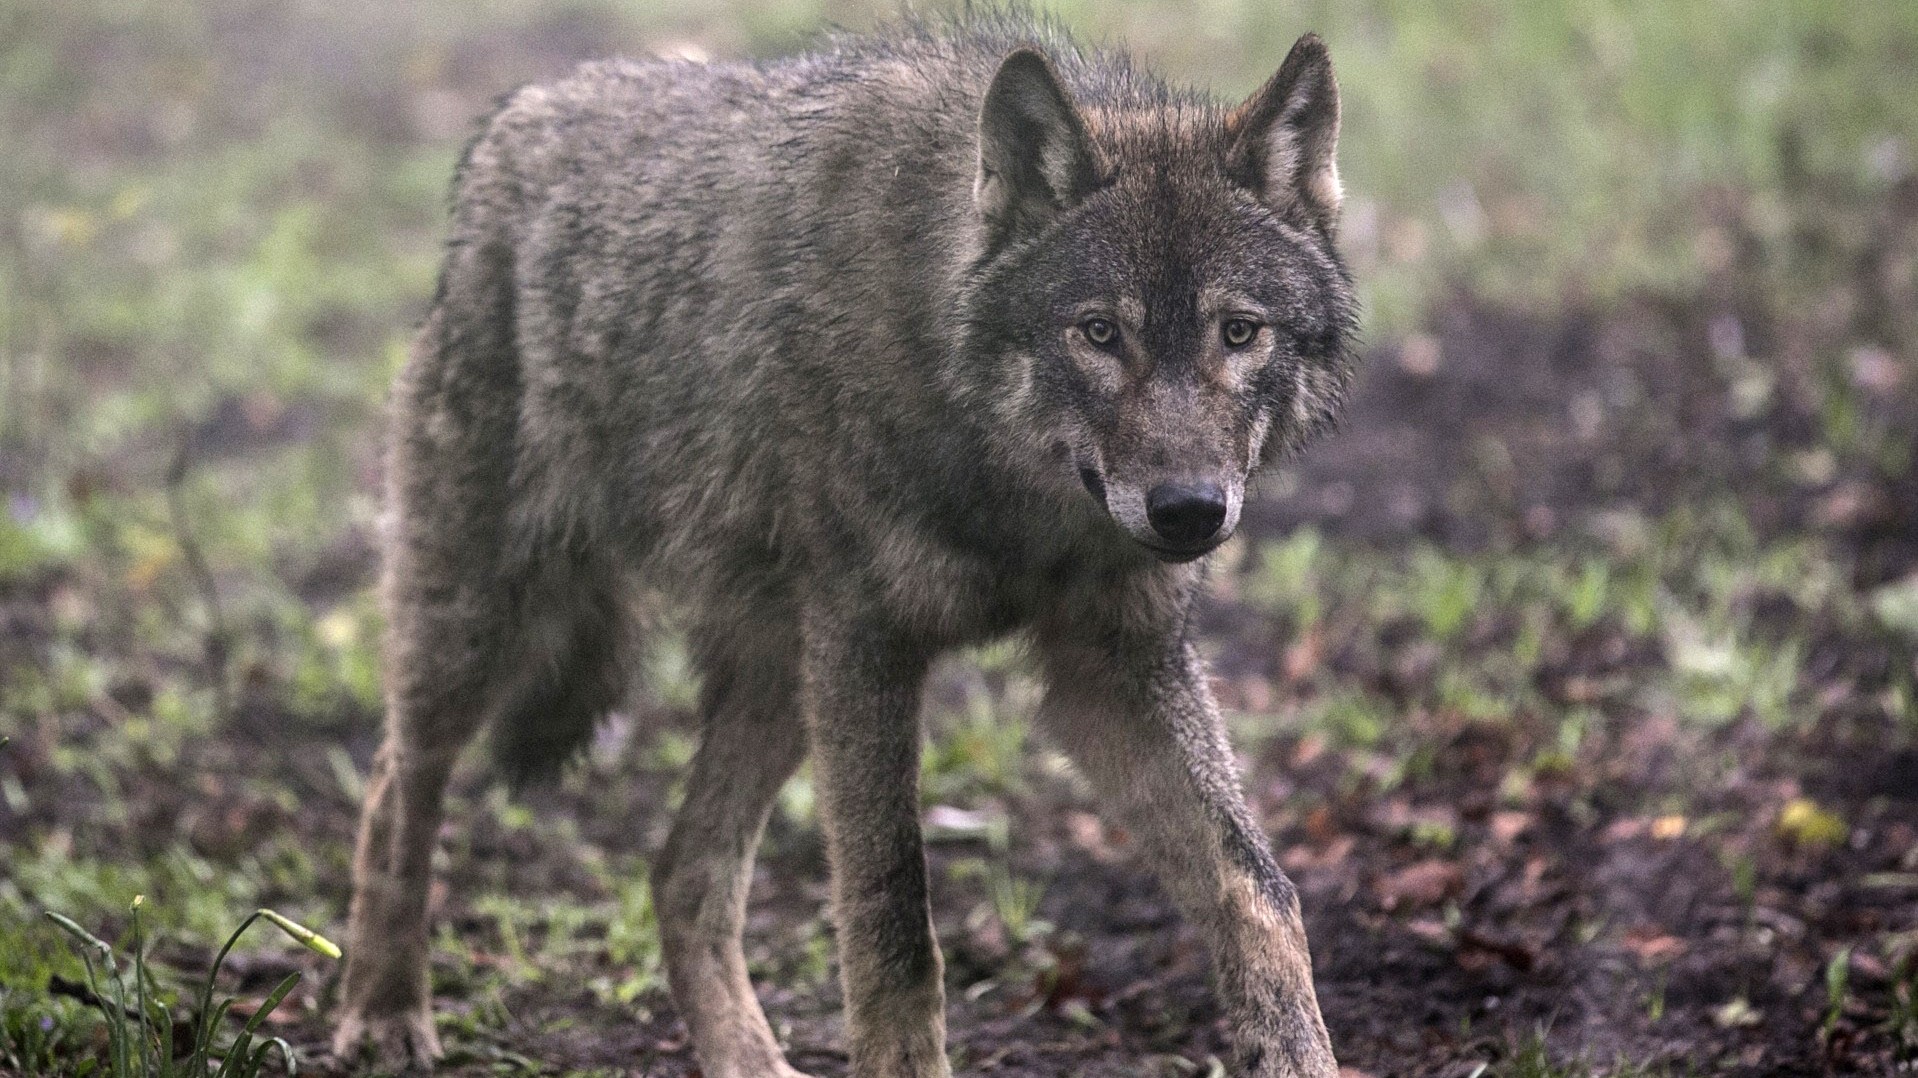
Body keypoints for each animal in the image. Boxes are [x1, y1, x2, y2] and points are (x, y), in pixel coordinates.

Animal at [331, 11, 1356, 1077]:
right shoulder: (869, 653)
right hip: (487, 626)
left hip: (781, 677)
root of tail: (516, 113)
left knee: (679, 872)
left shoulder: (1111, 669)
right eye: (1099, 333)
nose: (1189, 511)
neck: (1008, 494)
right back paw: (382, 1012)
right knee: (396, 786)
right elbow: (894, 928)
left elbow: (1259, 895)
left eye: (1238, 332)